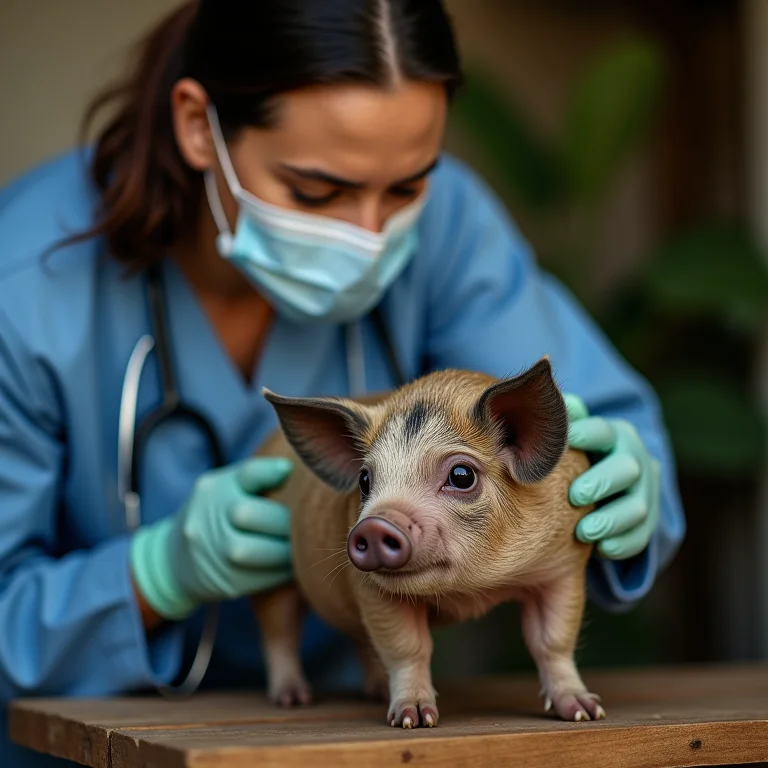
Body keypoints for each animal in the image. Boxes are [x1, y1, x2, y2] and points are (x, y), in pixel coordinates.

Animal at [250, 357, 603, 728]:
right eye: (364, 480)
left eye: (462, 475)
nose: (373, 525)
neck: (473, 593)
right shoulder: (372, 590)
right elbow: (407, 648)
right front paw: (414, 720)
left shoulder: (563, 568)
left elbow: (552, 642)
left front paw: (585, 713)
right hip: (269, 574)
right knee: (279, 634)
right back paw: (293, 700)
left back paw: (375, 692)